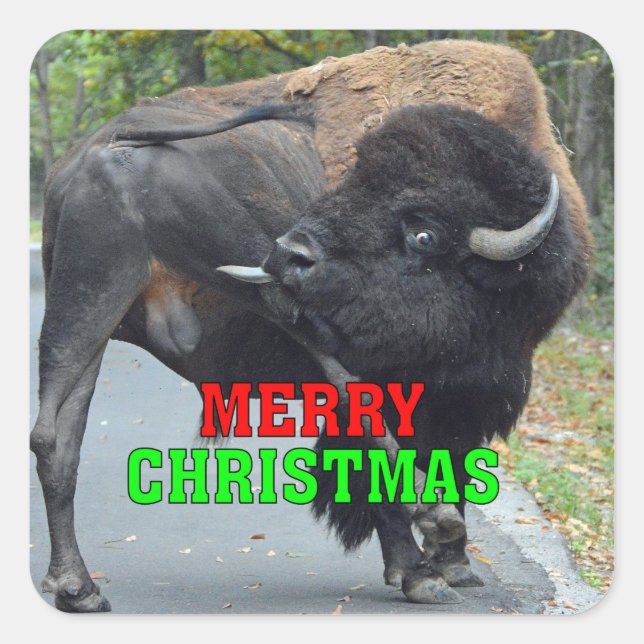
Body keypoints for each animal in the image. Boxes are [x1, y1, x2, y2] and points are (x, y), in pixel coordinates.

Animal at [30, 40, 592, 612]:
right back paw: (434, 521)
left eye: (424, 234)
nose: (290, 252)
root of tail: (104, 148)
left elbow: (449, 457)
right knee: (342, 381)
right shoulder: (422, 391)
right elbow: (381, 465)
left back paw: (77, 588)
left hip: (87, 307)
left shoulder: (462, 398)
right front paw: (424, 571)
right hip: (261, 283)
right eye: (353, 181)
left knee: (55, 436)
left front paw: (450, 568)